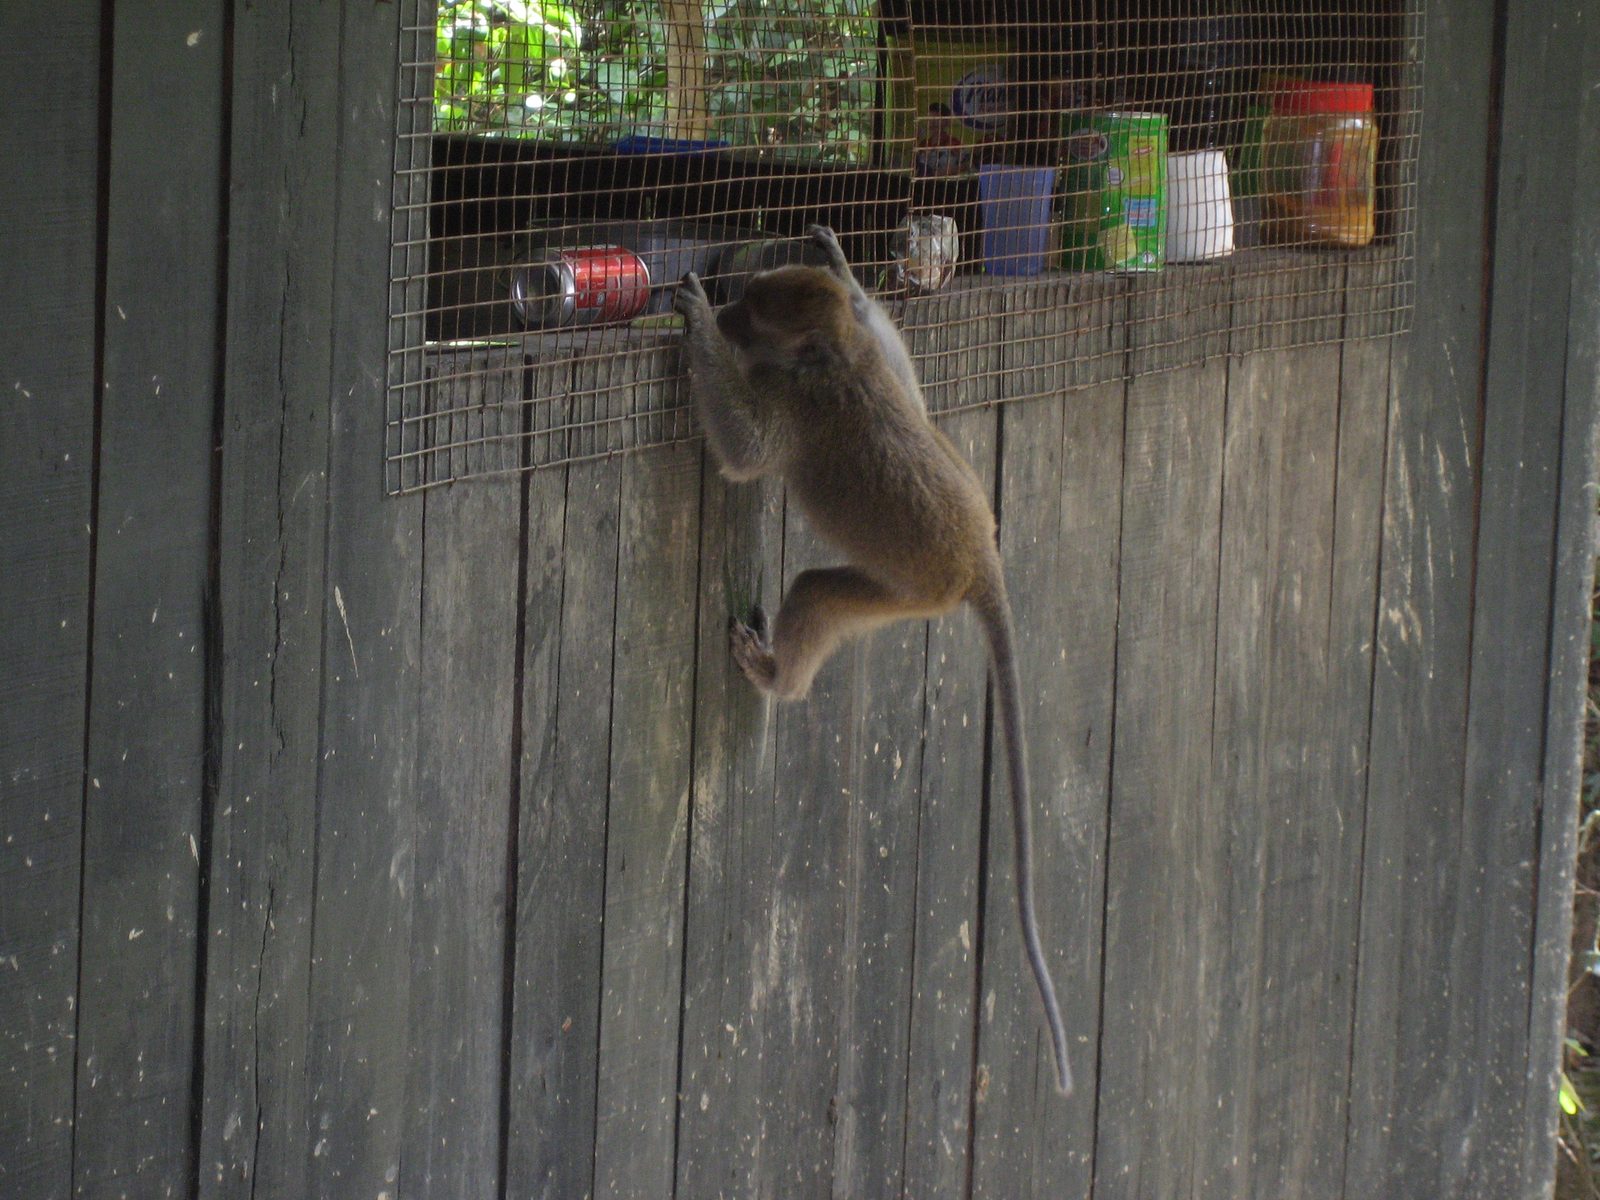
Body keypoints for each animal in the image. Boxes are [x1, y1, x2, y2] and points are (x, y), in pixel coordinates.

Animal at [674, 225, 1072, 1096]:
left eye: (752, 313)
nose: (729, 311)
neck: (832, 363)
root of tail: (979, 556)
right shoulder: (865, 367)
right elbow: (909, 389)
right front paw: (848, 275)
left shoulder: (794, 408)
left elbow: (748, 450)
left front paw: (699, 329)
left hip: (909, 592)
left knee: (818, 594)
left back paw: (776, 677)